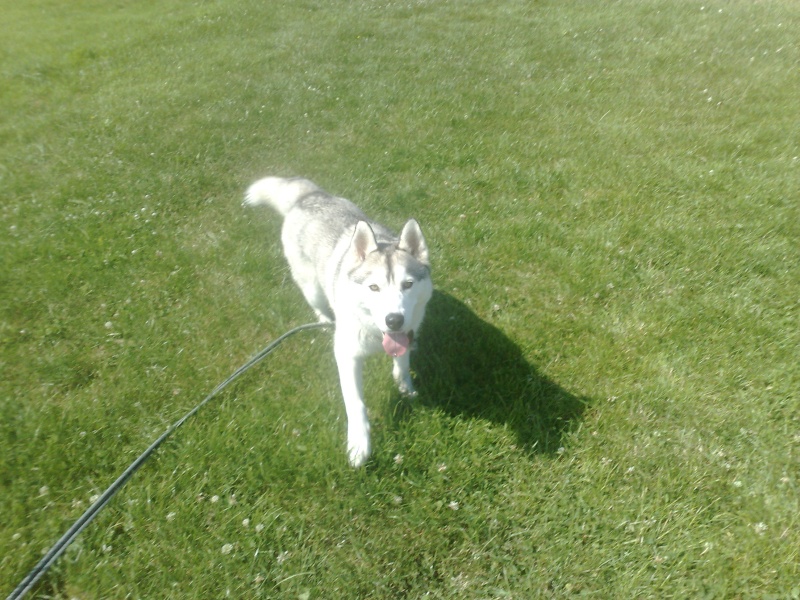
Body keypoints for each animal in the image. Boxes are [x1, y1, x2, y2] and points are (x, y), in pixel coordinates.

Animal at [245, 176, 434, 466]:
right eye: (374, 287)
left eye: (408, 284)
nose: (393, 320)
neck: (375, 334)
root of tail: (309, 196)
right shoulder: (347, 355)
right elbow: (355, 403)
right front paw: (359, 444)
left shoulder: (409, 330)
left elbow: (402, 364)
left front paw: (405, 388)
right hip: (311, 288)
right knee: (318, 304)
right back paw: (324, 321)